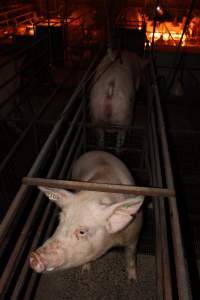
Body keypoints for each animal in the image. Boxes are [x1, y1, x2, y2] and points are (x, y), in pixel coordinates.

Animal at [29, 151, 144, 280]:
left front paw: (132, 280)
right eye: (60, 219)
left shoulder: (134, 235)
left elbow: (131, 256)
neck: (113, 240)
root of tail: (96, 151)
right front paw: (85, 271)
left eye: (82, 232)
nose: (34, 256)